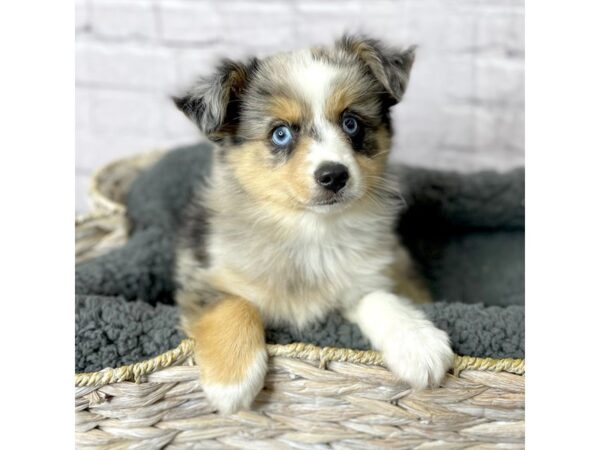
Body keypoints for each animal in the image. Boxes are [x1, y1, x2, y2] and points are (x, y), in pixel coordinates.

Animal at [171, 34, 452, 414]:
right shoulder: (201, 277)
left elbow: (379, 297)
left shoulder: (366, 275)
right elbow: (234, 303)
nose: (334, 176)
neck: (311, 230)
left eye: (351, 123)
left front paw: (419, 344)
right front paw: (232, 381)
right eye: (280, 134)